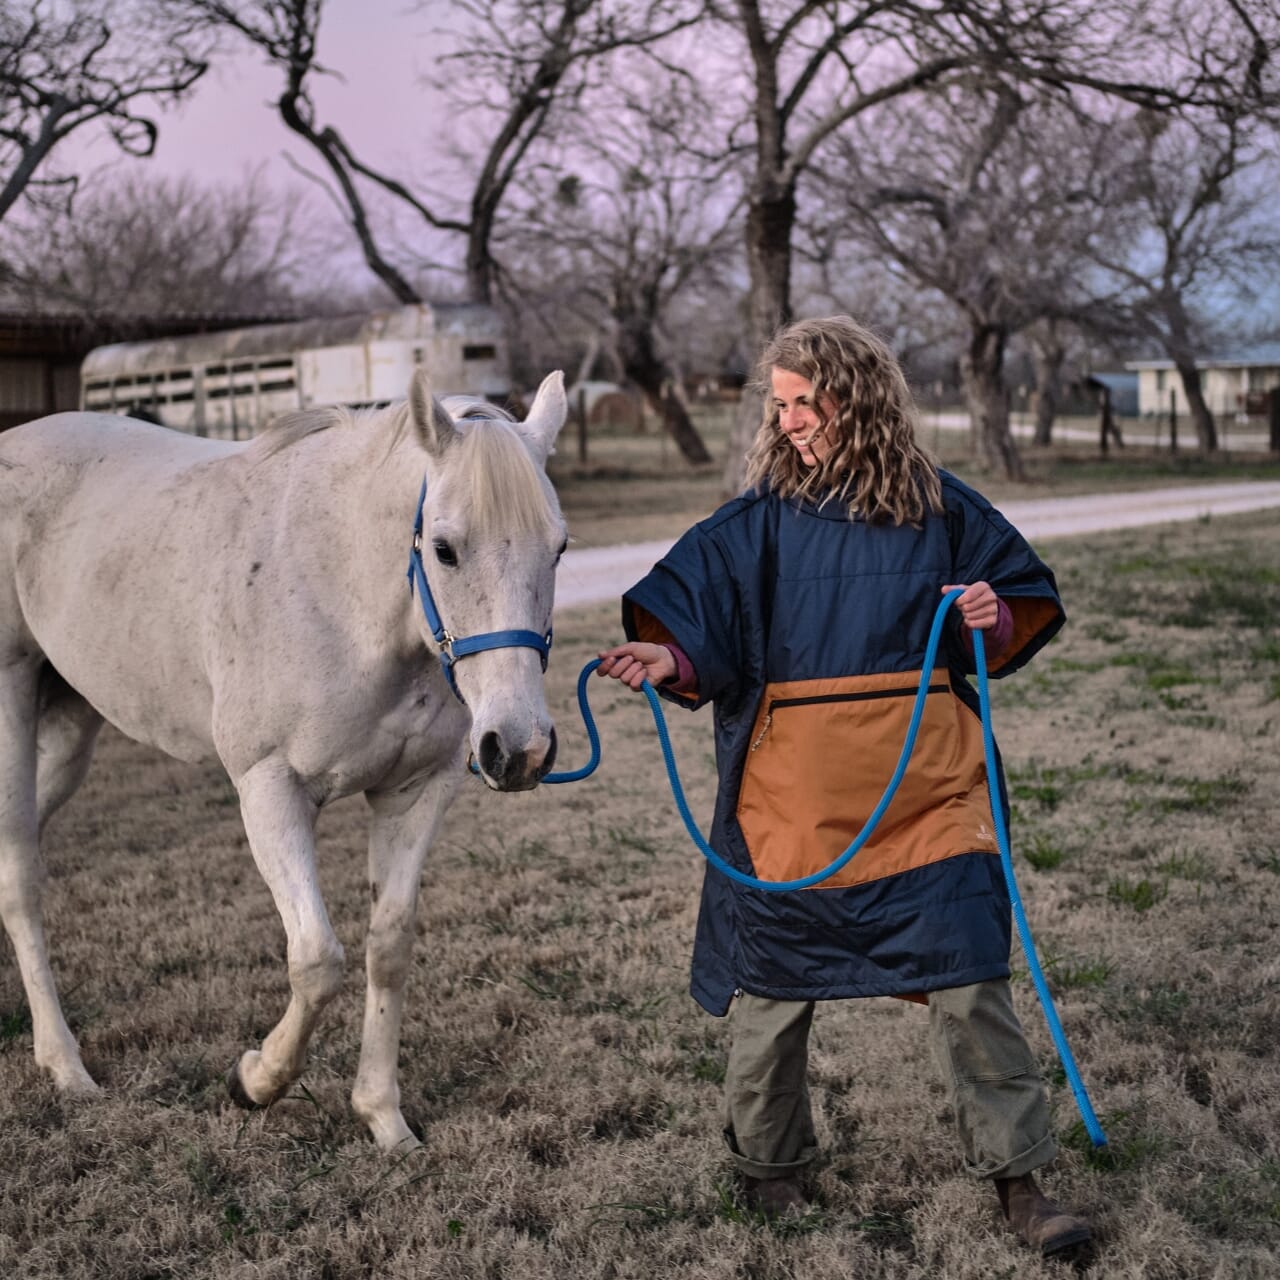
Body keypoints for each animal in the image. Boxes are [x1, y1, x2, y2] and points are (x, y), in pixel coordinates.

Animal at [0, 368, 570, 1152]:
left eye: (560, 548)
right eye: (446, 549)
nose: (519, 748)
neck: (343, 591)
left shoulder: (416, 792)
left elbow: (388, 947)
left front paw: (383, 1117)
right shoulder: (270, 789)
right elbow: (318, 961)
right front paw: (255, 1081)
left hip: (67, 730)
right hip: (11, 703)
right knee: (20, 880)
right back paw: (64, 1064)